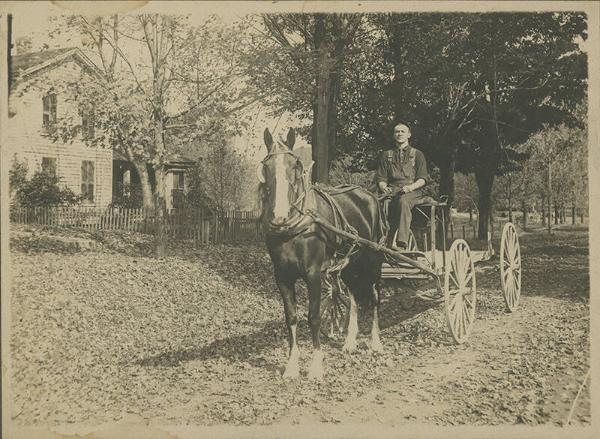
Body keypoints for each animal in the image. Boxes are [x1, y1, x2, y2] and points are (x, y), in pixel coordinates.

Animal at [256, 126, 386, 378]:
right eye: (266, 166)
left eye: (295, 166)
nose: (278, 217)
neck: (295, 227)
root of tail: (368, 195)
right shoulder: (282, 277)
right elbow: (291, 318)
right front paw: (292, 366)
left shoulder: (313, 274)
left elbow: (314, 317)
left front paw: (316, 367)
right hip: (349, 262)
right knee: (354, 296)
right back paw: (350, 341)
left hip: (373, 259)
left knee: (375, 295)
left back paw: (375, 342)